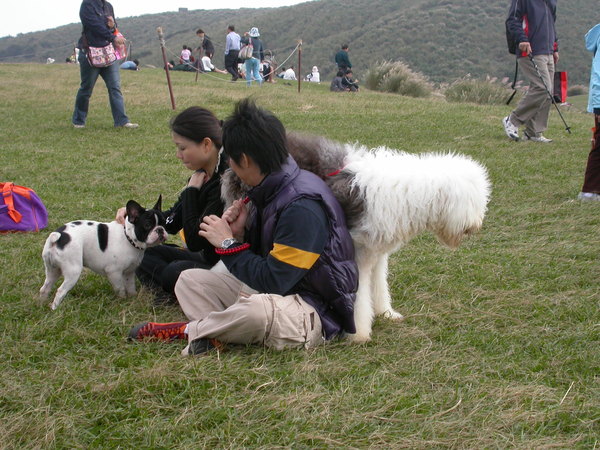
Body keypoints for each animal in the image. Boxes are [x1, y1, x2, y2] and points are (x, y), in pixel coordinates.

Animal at [221, 133, 492, 342]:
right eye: (472, 201)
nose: (476, 226)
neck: (412, 195)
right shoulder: (357, 253)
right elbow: (357, 295)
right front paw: (358, 333)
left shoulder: (377, 251)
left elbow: (379, 283)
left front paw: (386, 313)